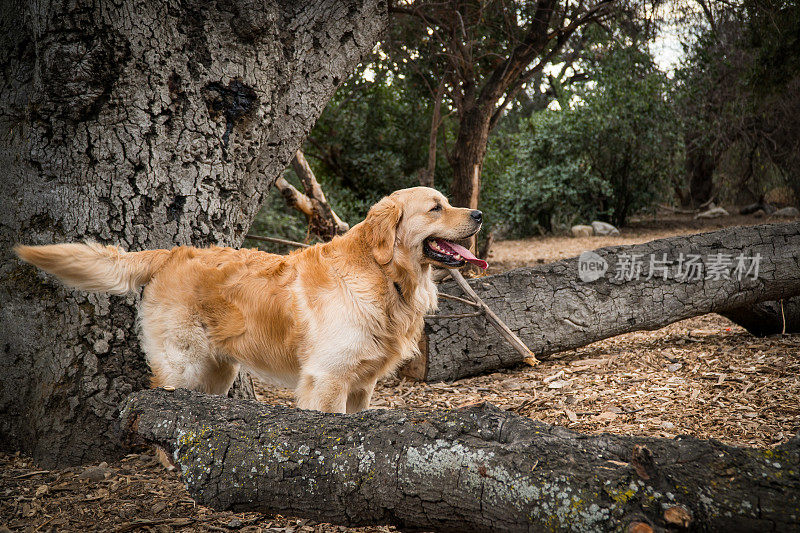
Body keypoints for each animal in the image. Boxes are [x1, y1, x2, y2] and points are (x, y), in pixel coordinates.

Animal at [15, 186, 484, 412]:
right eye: (436, 208)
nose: (478, 214)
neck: (384, 276)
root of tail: (172, 252)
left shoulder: (361, 383)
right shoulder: (327, 378)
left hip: (218, 370)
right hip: (183, 362)